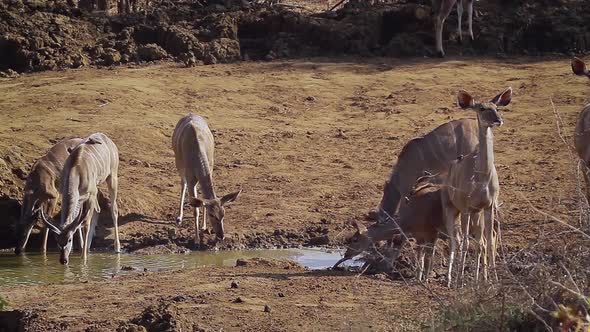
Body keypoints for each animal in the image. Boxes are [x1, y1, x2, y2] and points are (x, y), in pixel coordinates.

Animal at [41, 132, 120, 264]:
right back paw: (87, 247)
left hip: (112, 177)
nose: (63, 260)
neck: (75, 170)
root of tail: (109, 140)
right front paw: (83, 249)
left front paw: (84, 259)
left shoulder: (90, 194)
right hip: (96, 188)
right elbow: (77, 222)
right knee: (98, 209)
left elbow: (85, 224)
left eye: (69, 240)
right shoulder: (72, 196)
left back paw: (117, 248)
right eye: (57, 241)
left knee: (113, 209)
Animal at [172, 114, 242, 246]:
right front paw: (196, 240)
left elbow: (203, 201)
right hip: (179, 163)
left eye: (223, 213)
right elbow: (195, 209)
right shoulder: (190, 178)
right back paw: (179, 217)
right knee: (182, 184)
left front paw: (204, 227)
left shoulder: (210, 168)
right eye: (212, 214)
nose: (221, 236)